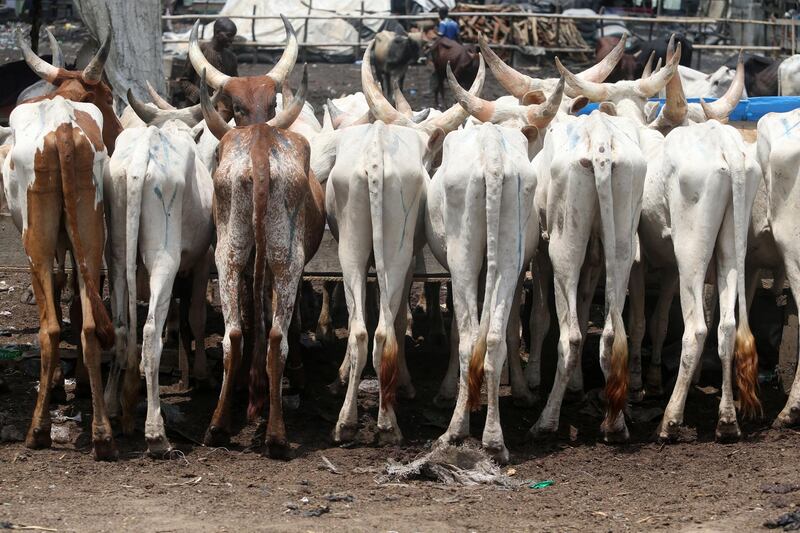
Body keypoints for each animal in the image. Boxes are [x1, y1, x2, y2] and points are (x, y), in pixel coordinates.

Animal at [104, 112, 214, 454]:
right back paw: (156, 434)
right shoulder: (203, 259)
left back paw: (113, 407)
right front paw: (201, 375)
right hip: (164, 257)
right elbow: (196, 316)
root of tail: (145, 150)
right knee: (151, 331)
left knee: (121, 326)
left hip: (116, 251)